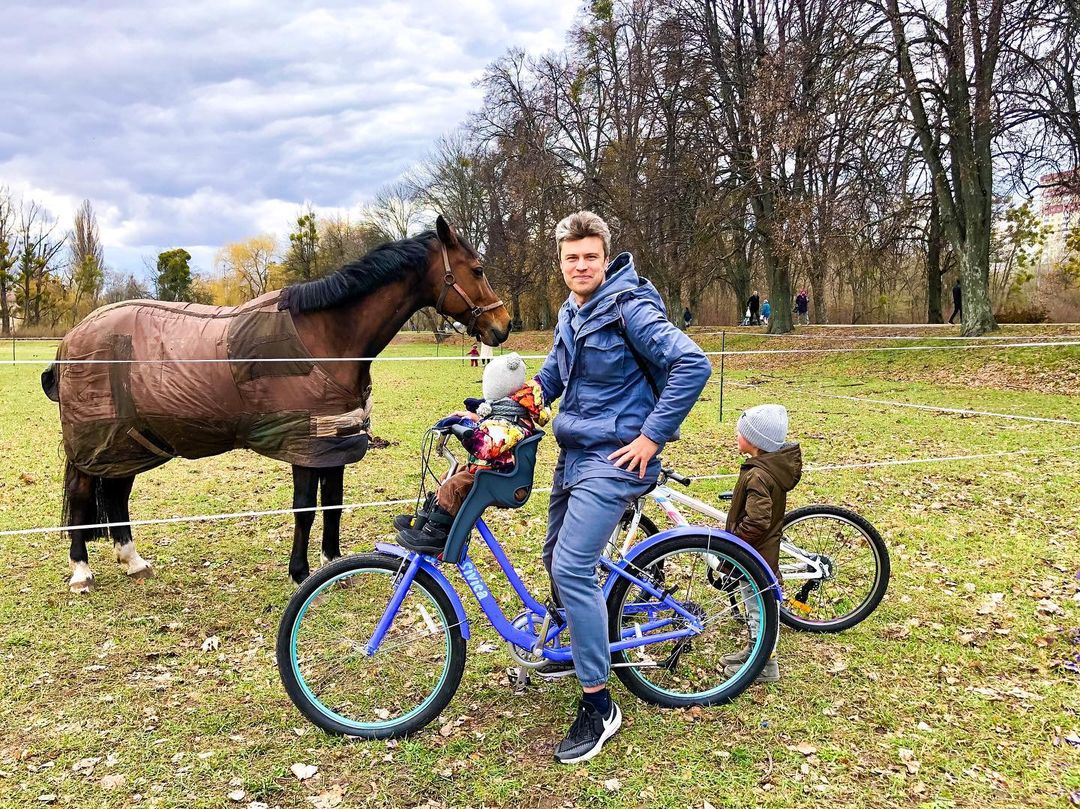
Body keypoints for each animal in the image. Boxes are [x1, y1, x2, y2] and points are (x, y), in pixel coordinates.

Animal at [42, 218, 509, 591]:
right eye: (477, 269)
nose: (503, 325)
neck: (327, 339)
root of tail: (73, 337)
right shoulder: (304, 446)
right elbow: (305, 509)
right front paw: (300, 572)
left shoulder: (332, 444)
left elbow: (333, 503)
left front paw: (332, 564)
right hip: (96, 443)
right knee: (81, 495)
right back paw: (81, 572)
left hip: (129, 443)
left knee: (117, 493)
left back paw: (134, 561)